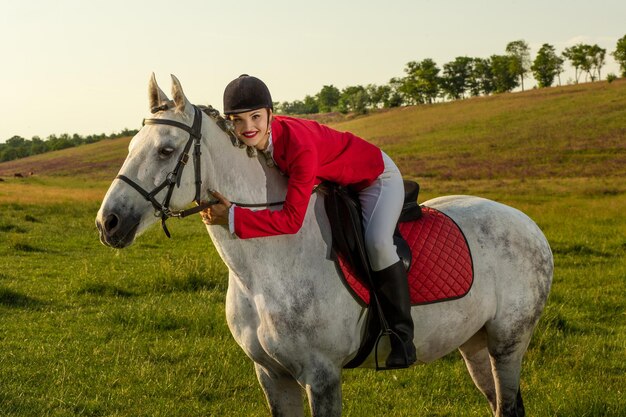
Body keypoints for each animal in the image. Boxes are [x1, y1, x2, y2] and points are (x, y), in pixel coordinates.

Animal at [95, 75, 548, 416]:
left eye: (166, 150)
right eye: (130, 147)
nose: (108, 223)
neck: (264, 268)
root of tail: (528, 224)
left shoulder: (322, 376)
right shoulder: (272, 376)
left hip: (508, 343)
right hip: (474, 343)